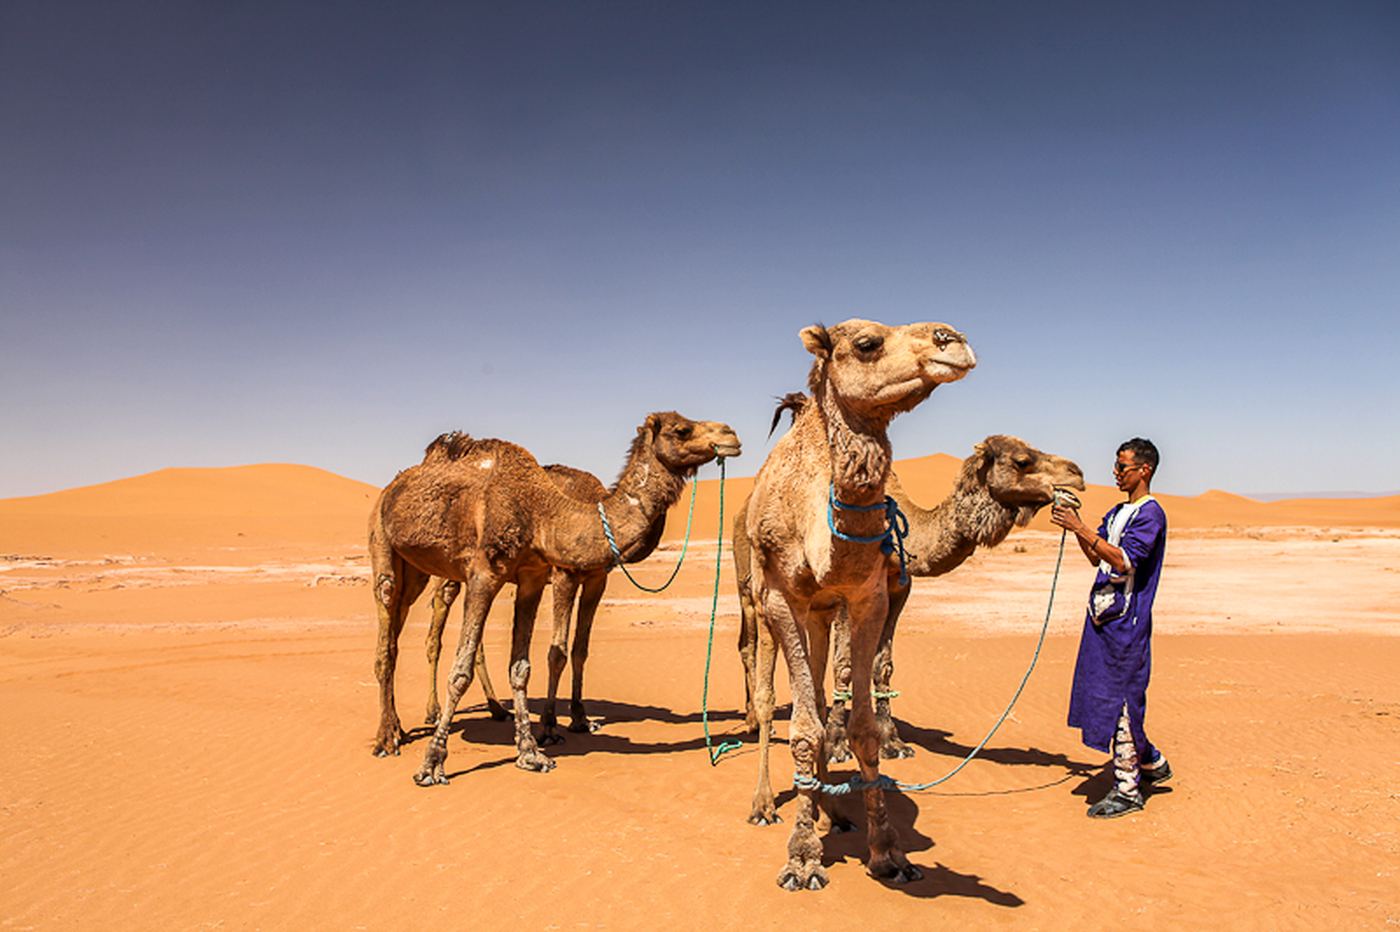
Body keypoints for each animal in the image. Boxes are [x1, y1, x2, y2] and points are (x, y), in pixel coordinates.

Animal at [422, 462, 670, 742]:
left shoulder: (597, 580)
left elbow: (580, 650)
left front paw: (581, 719)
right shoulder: (565, 575)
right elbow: (557, 652)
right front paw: (549, 726)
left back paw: (497, 709)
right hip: (446, 571)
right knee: (437, 624)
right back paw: (433, 712)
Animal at [735, 429, 1084, 809]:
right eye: (1022, 460)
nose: (1078, 474)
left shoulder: (898, 587)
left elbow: (882, 664)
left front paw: (892, 741)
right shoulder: (845, 589)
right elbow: (844, 667)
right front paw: (839, 744)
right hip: (751, 587)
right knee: (752, 646)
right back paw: (758, 731)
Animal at [742, 319, 975, 890]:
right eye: (867, 343)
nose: (952, 337)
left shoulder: (866, 597)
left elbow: (861, 729)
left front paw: (888, 853)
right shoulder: (782, 599)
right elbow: (802, 730)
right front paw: (802, 858)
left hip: (822, 615)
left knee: (819, 689)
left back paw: (832, 812)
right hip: (760, 603)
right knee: (769, 700)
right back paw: (764, 804)